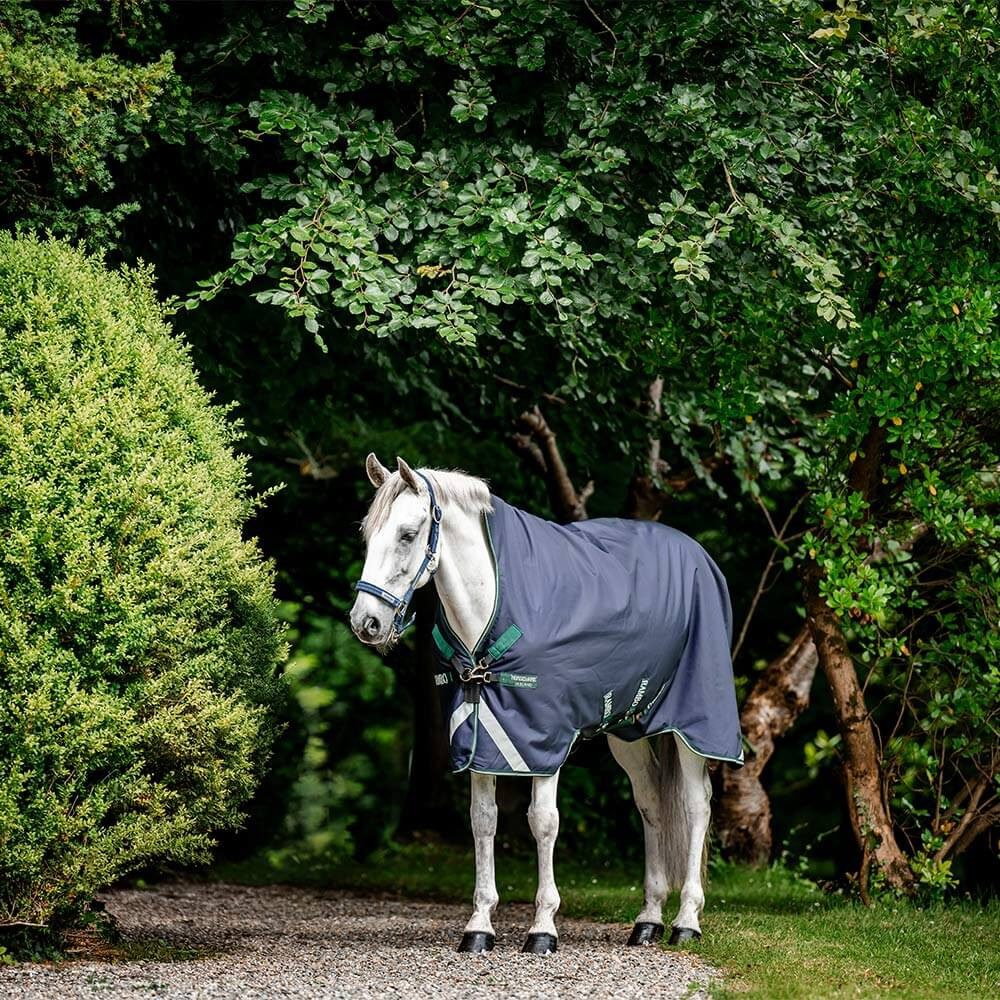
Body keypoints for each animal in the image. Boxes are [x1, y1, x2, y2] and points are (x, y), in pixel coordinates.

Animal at [349, 454, 743, 954]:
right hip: (628, 730)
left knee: (696, 805)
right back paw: (648, 920)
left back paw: (687, 920)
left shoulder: (544, 738)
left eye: (406, 534)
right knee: (651, 803)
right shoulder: (480, 736)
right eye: (368, 534)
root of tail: (699, 555)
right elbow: (483, 821)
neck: (492, 605)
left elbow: (543, 821)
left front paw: (542, 928)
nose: (366, 623)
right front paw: (479, 927)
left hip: (692, 726)